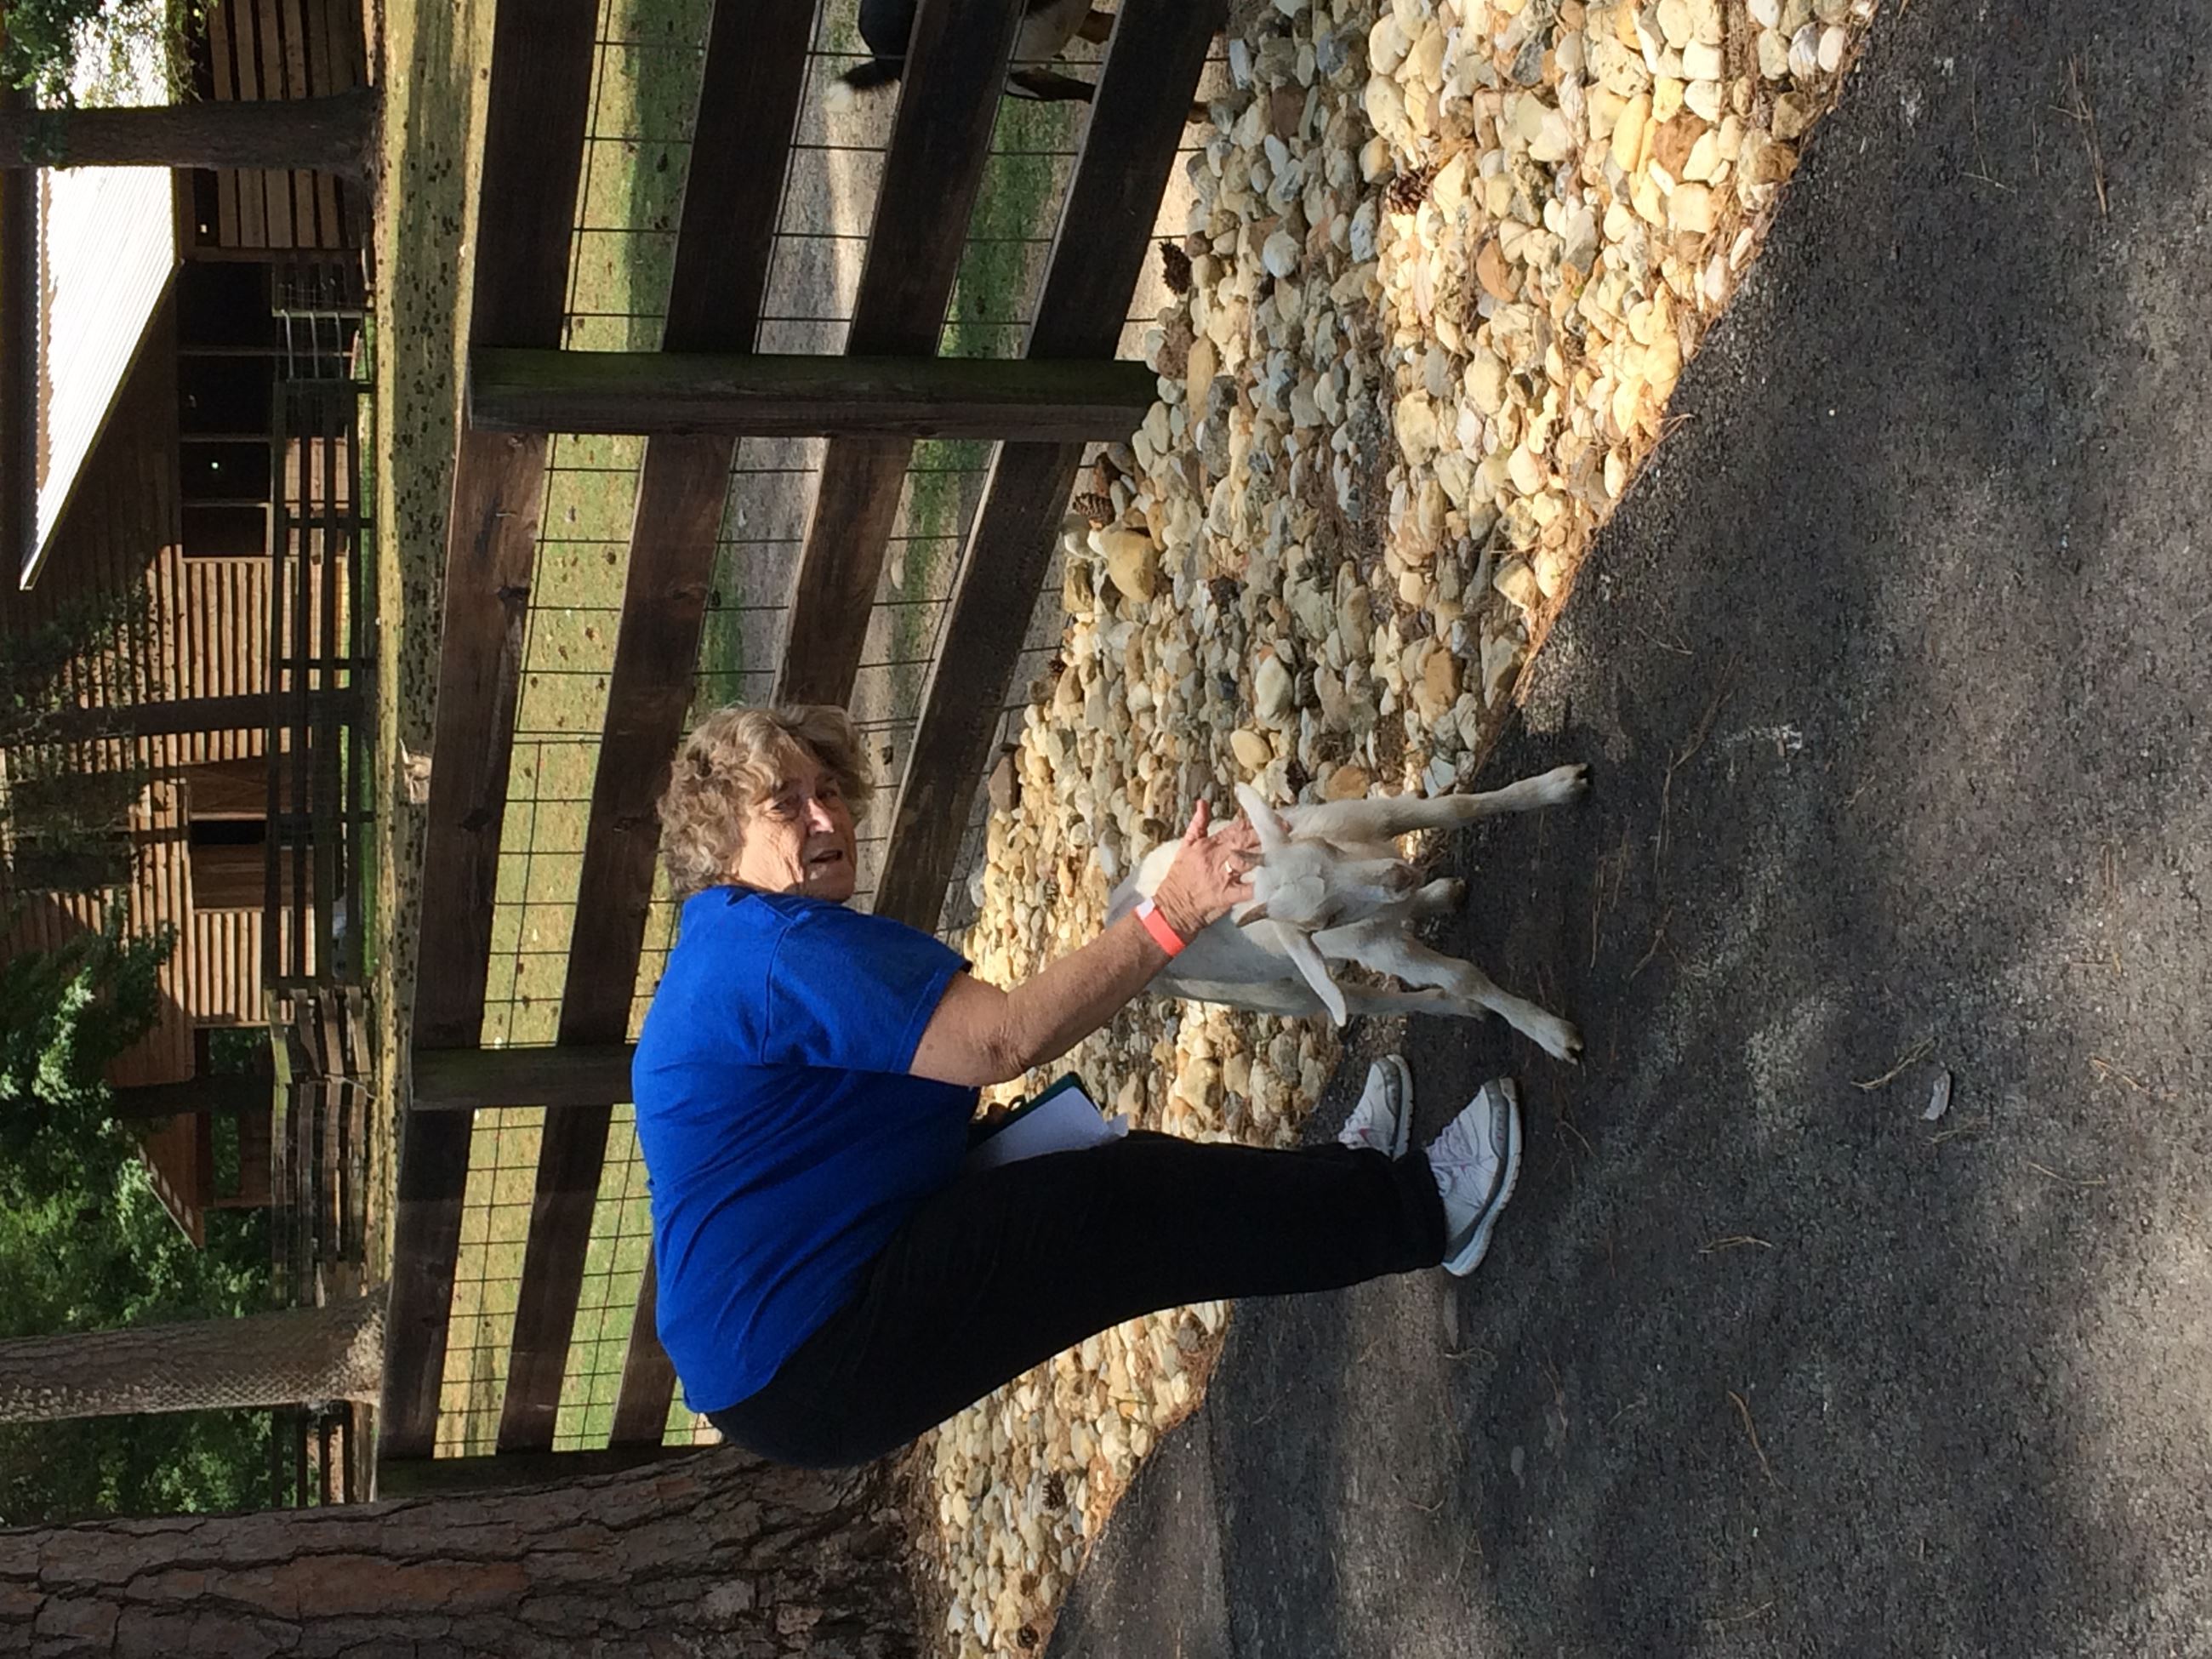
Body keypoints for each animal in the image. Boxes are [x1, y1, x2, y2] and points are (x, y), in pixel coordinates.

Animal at [1105, 766, 1591, 1061]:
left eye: (1326, 849)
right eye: (1322, 921)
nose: (1400, 877)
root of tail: (1111, 914)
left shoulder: (1373, 818)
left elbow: (1455, 807)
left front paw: (1558, 786)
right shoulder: (1378, 947)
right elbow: (1461, 975)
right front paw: (1551, 1033)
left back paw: (1438, 894)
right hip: (1270, 993)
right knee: (1362, 1001)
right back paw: (1456, 1006)